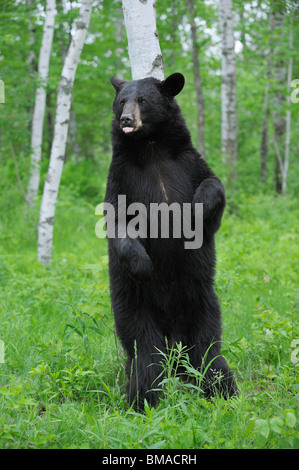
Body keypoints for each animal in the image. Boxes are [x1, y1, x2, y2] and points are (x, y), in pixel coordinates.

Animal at [105, 71, 239, 410]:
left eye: (142, 100)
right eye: (121, 100)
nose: (126, 119)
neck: (151, 147)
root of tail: (173, 338)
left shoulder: (189, 163)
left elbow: (213, 186)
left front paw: (194, 211)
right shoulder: (121, 177)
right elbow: (116, 220)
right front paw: (141, 265)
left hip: (203, 304)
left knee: (209, 354)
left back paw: (224, 394)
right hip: (134, 308)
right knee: (145, 357)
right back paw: (143, 403)